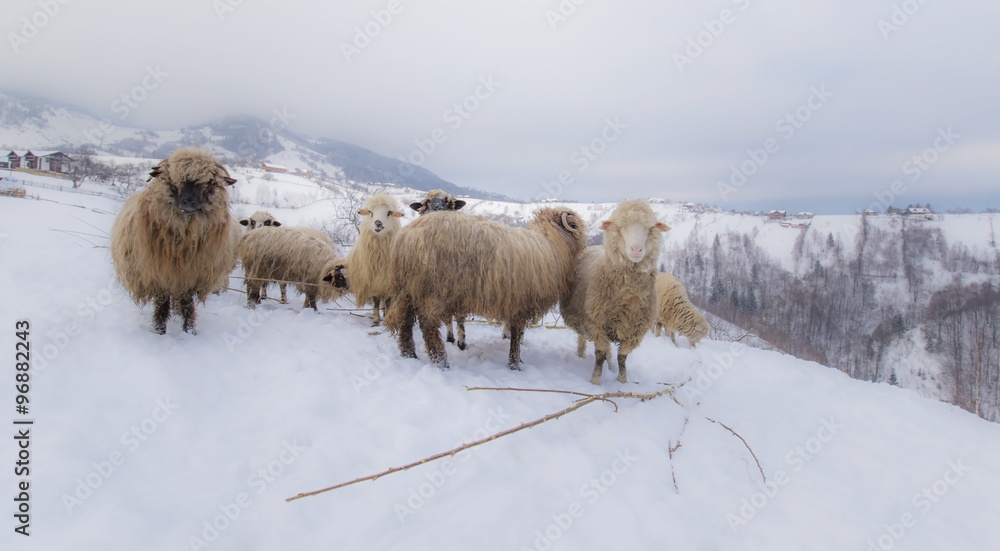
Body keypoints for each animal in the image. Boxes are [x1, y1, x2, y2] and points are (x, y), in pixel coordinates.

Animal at [110, 148, 239, 334]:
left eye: (208, 183)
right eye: (173, 179)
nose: (188, 202)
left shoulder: (190, 276)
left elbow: (187, 304)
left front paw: (190, 330)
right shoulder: (158, 275)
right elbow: (162, 305)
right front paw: (159, 331)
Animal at [345, 192, 404, 326]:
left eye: (389, 212)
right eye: (370, 212)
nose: (378, 223)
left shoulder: (388, 281)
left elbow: (388, 301)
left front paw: (386, 320)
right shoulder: (373, 280)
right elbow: (376, 301)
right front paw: (376, 321)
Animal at [386, 207, 587, 369]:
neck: (553, 243)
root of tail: (406, 235)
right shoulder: (521, 303)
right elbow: (516, 335)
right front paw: (515, 364)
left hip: (409, 289)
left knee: (406, 322)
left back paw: (409, 354)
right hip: (433, 290)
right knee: (428, 325)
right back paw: (441, 362)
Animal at [409, 189, 469, 349]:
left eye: (449, 202)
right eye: (426, 203)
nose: (438, 211)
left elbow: (460, 317)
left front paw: (461, 343)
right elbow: (447, 317)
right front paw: (450, 338)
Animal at [559, 200, 670, 385]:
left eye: (650, 228)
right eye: (621, 227)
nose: (636, 249)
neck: (629, 298)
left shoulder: (636, 332)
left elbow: (622, 357)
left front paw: (622, 380)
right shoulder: (595, 323)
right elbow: (600, 354)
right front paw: (595, 381)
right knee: (583, 338)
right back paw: (581, 354)